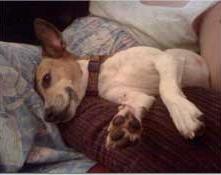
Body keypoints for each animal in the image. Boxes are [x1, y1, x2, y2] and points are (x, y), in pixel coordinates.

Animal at [34, 18, 209, 148]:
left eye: (46, 79)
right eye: (39, 96)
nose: (47, 116)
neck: (100, 75)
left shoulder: (166, 59)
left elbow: (166, 89)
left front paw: (182, 114)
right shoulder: (133, 95)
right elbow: (140, 101)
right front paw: (124, 122)